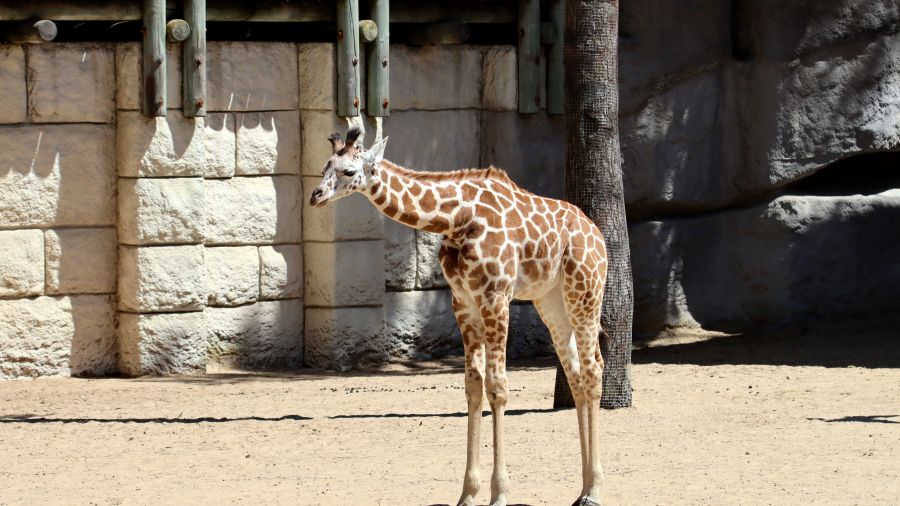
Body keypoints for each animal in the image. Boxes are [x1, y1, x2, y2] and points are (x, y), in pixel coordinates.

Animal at [310, 127, 609, 506]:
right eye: (324, 167)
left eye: (349, 171)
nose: (315, 196)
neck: (456, 219)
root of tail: (597, 235)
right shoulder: (463, 302)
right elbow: (473, 386)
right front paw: (468, 493)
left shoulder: (495, 297)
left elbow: (498, 387)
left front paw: (499, 494)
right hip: (551, 301)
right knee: (576, 374)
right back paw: (582, 489)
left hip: (585, 293)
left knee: (594, 369)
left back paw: (595, 490)